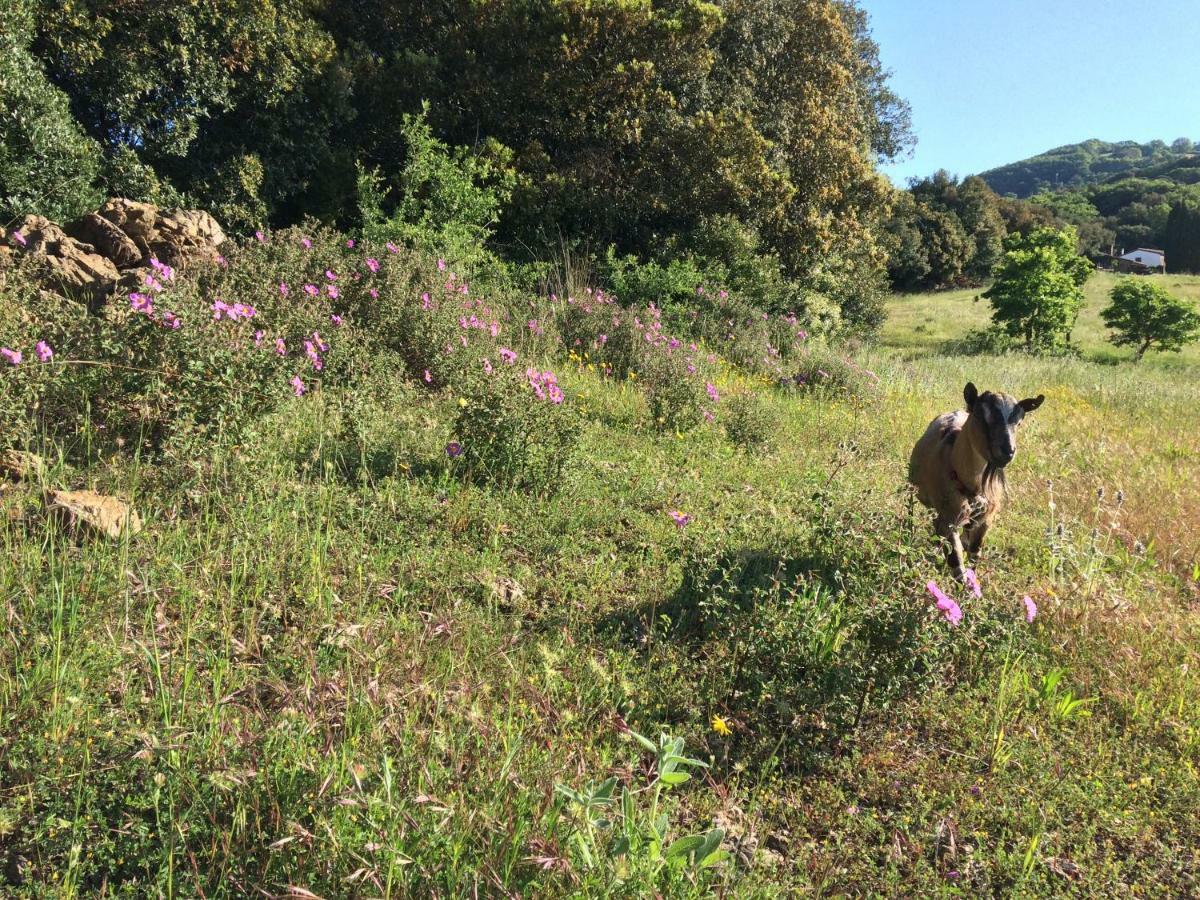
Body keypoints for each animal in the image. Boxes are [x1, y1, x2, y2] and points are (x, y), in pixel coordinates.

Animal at [907, 381, 1041, 578]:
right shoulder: (949, 519)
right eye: (980, 415)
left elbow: (975, 553)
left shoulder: (986, 519)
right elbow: (956, 562)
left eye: (1019, 421)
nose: (1008, 451)